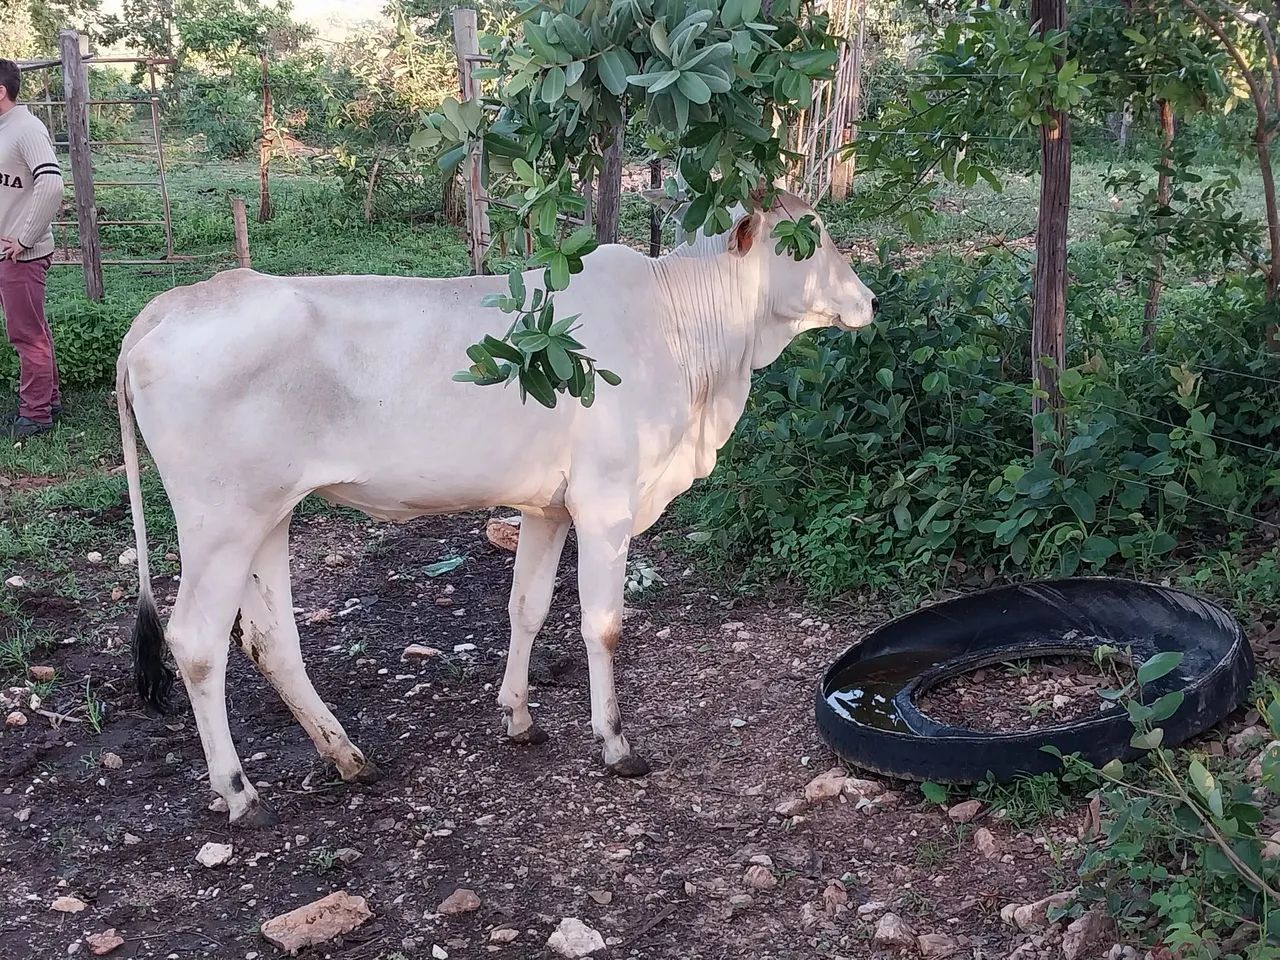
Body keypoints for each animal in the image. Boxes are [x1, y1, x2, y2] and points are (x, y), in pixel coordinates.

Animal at [117, 190, 879, 825]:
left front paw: (518, 716)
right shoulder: (605, 501)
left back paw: (348, 757)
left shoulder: (548, 509)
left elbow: (527, 608)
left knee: (269, 639)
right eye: (806, 242)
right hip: (220, 522)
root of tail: (170, 305)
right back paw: (239, 792)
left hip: (269, 516)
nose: (868, 299)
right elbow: (603, 626)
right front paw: (614, 742)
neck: (690, 338)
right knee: (197, 642)